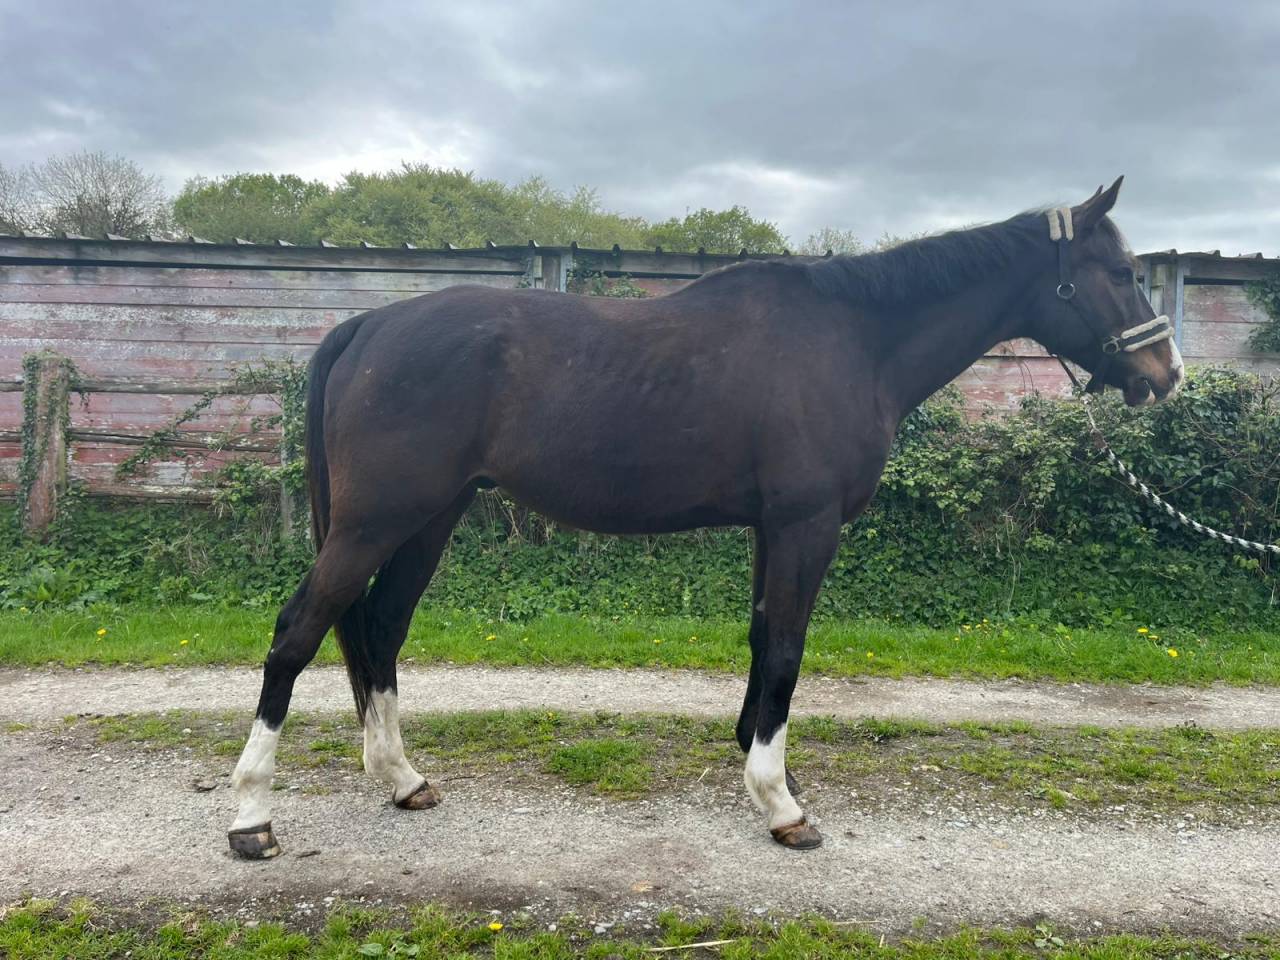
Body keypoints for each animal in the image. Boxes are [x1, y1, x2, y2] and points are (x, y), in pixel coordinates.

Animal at [228, 177, 1183, 857]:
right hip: (375, 522)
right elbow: (789, 647)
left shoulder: (772, 529)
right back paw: (250, 818)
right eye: (1121, 273)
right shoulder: (805, 525)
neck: (853, 339)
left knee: (380, 628)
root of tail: (369, 325)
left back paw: (401, 778)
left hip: (429, 518)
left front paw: (753, 759)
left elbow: (763, 638)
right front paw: (781, 804)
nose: (1165, 374)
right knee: (298, 631)